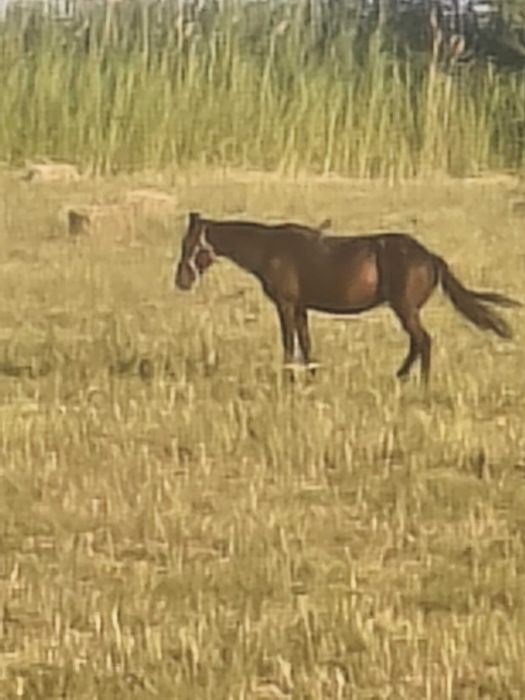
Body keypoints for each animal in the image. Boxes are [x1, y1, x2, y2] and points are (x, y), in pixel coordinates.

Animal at [174, 212, 520, 383]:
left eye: (189, 245)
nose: (181, 281)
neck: (270, 249)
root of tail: (430, 257)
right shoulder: (301, 307)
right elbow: (306, 342)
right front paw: (310, 376)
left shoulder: (286, 305)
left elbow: (289, 342)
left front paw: (288, 379)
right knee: (417, 342)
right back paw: (401, 376)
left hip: (405, 308)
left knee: (423, 341)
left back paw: (420, 382)